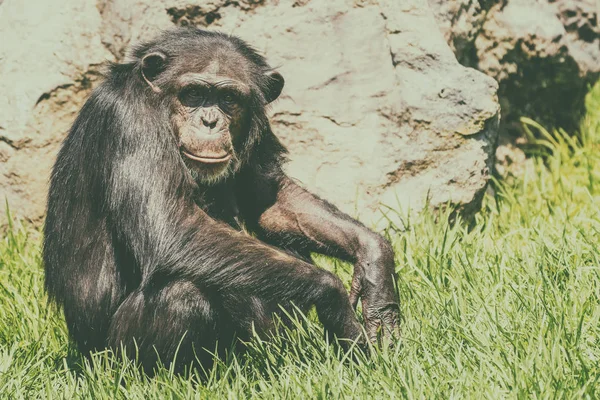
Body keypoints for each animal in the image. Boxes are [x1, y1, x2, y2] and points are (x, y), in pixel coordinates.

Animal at [42, 27, 398, 372]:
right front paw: (336, 302)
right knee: (183, 292)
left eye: (228, 98)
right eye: (193, 94)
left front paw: (375, 267)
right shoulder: (130, 121)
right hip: (108, 359)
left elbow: (268, 199)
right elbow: (171, 231)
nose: (210, 122)